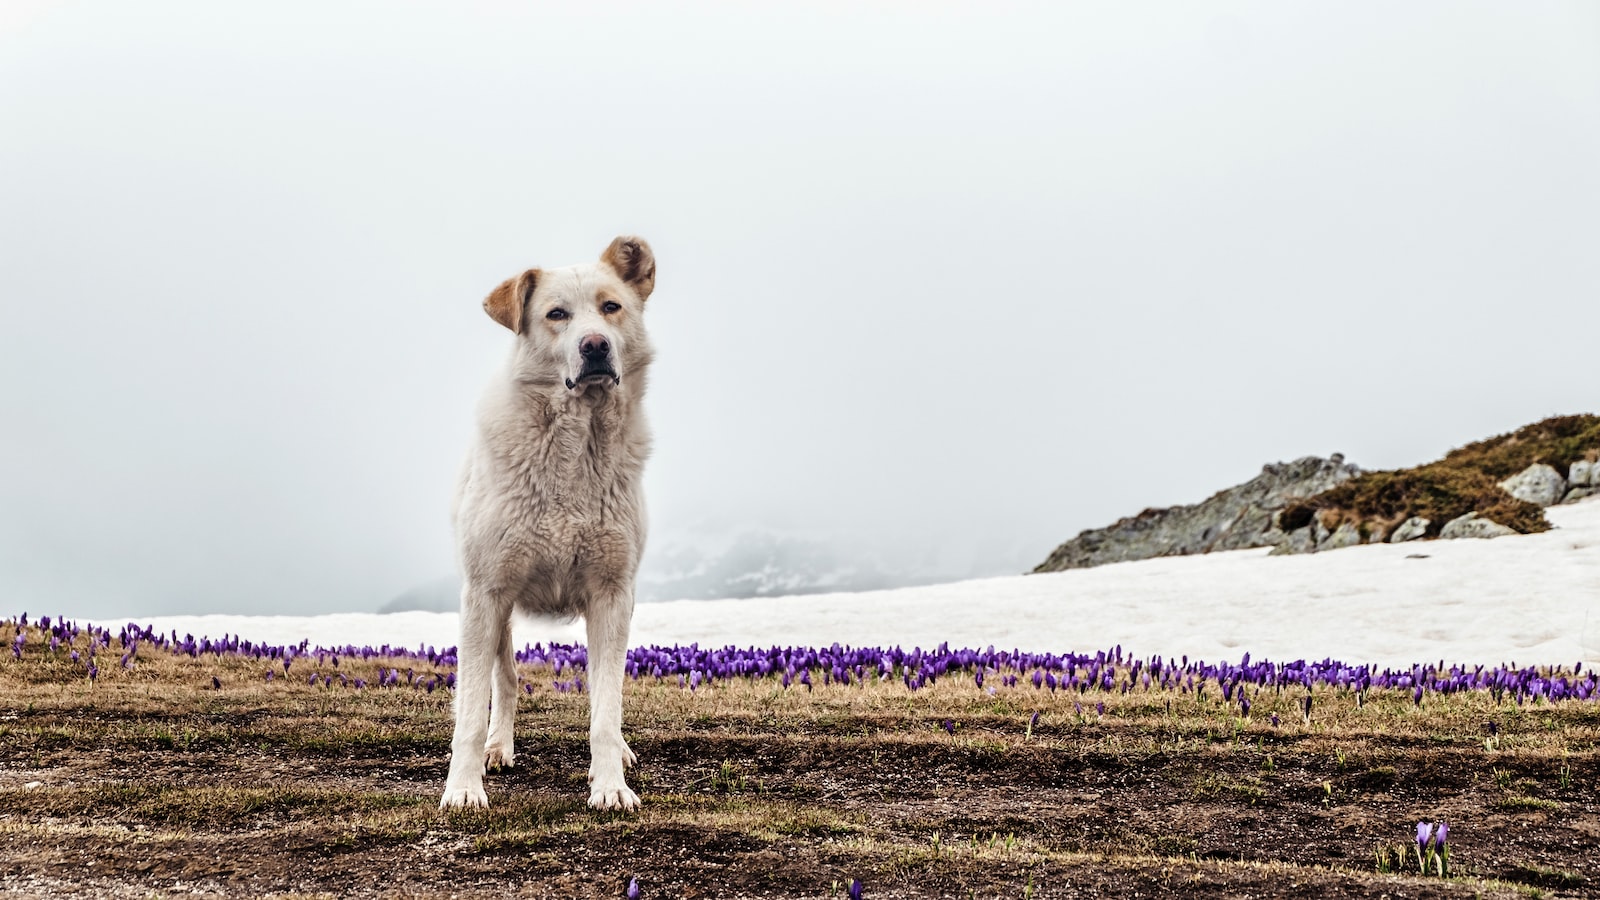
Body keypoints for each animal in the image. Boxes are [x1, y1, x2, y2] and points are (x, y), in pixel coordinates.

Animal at [438, 237, 656, 807]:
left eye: (611, 306)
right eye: (556, 314)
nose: (595, 346)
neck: (575, 445)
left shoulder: (612, 594)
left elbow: (606, 709)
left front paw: (610, 785)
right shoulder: (485, 592)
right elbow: (471, 711)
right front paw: (463, 789)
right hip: (496, 611)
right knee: (506, 681)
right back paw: (497, 749)